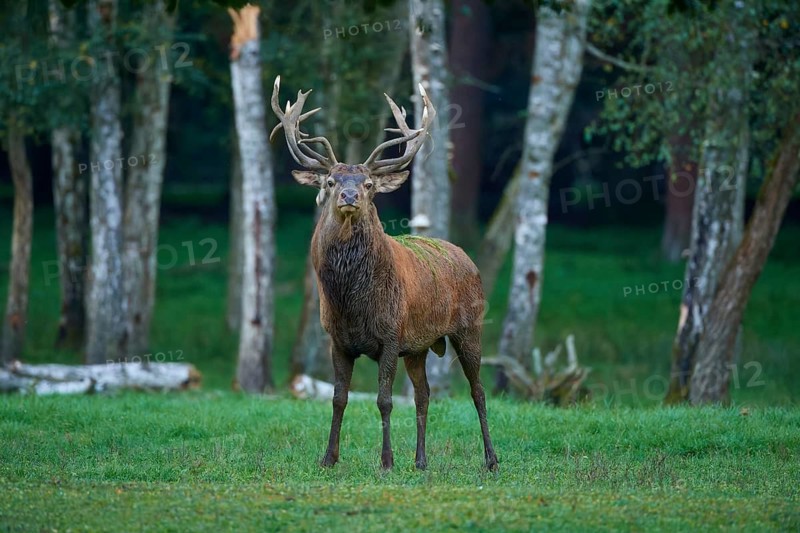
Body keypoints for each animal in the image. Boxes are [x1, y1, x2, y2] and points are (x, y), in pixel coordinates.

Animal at [270, 76, 498, 471]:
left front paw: (387, 461)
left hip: (470, 327)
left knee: (478, 390)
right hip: (420, 347)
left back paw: (490, 459)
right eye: (329, 181)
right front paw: (329, 458)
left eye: (369, 185)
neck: (352, 302)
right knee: (424, 394)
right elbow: (338, 398)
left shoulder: (392, 334)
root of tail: (465, 257)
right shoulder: (338, 339)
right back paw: (421, 461)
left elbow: (384, 400)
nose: (349, 196)